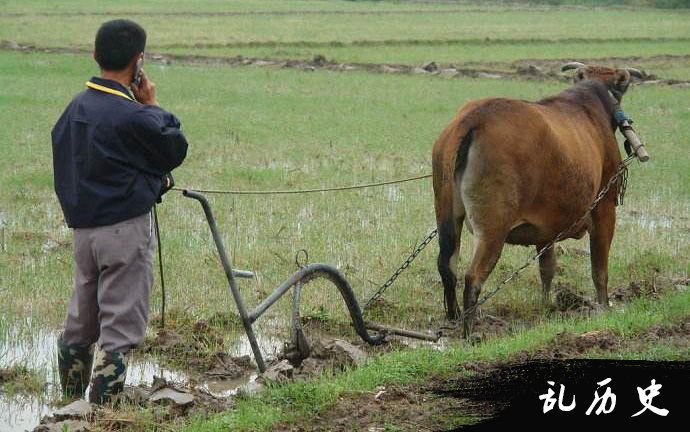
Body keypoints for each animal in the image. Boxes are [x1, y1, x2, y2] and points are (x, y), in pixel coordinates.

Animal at [432, 62, 644, 336]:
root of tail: (474, 118)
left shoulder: (546, 229)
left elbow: (547, 268)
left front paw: (546, 306)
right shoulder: (605, 208)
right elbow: (599, 268)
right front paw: (605, 309)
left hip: (447, 217)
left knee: (447, 267)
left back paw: (453, 318)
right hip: (493, 229)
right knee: (473, 277)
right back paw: (469, 332)